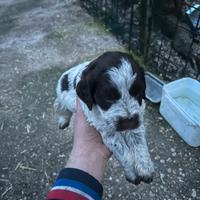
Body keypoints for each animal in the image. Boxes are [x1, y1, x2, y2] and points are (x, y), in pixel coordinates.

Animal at [54, 51, 155, 184]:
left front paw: (145, 168)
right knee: (61, 107)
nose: (129, 122)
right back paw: (63, 120)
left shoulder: (137, 120)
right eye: (108, 97)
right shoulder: (108, 131)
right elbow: (124, 152)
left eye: (137, 92)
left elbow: (140, 143)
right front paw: (132, 173)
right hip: (61, 97)